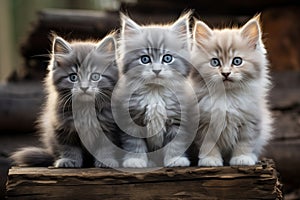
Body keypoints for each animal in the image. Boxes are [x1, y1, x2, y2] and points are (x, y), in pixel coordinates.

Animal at [11, 34, 119, 167]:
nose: (84, 87)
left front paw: (106, 161)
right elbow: (68, 147)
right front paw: (68, 160)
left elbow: (106, 148)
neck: (85, 108)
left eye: (95, 76)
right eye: (73, 77)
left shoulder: (109, 127)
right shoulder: (62, 125)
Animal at [113, 12, 198, 168]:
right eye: (145, 59)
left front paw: (176, 160)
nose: (157, 70)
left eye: (167, 58)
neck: (155, 92)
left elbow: (175, 144)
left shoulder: (178, 119)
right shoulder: (131, 119)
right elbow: (134, 143)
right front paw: (135, 160)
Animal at [191, 15, 274, 166]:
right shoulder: (204, 124)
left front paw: (242, 158)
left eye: (237, 61)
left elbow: (245, 142)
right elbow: (208, 144)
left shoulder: (250, 121)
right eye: (215, 62)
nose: (226, 73)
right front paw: (210, 160)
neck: (227, 97)